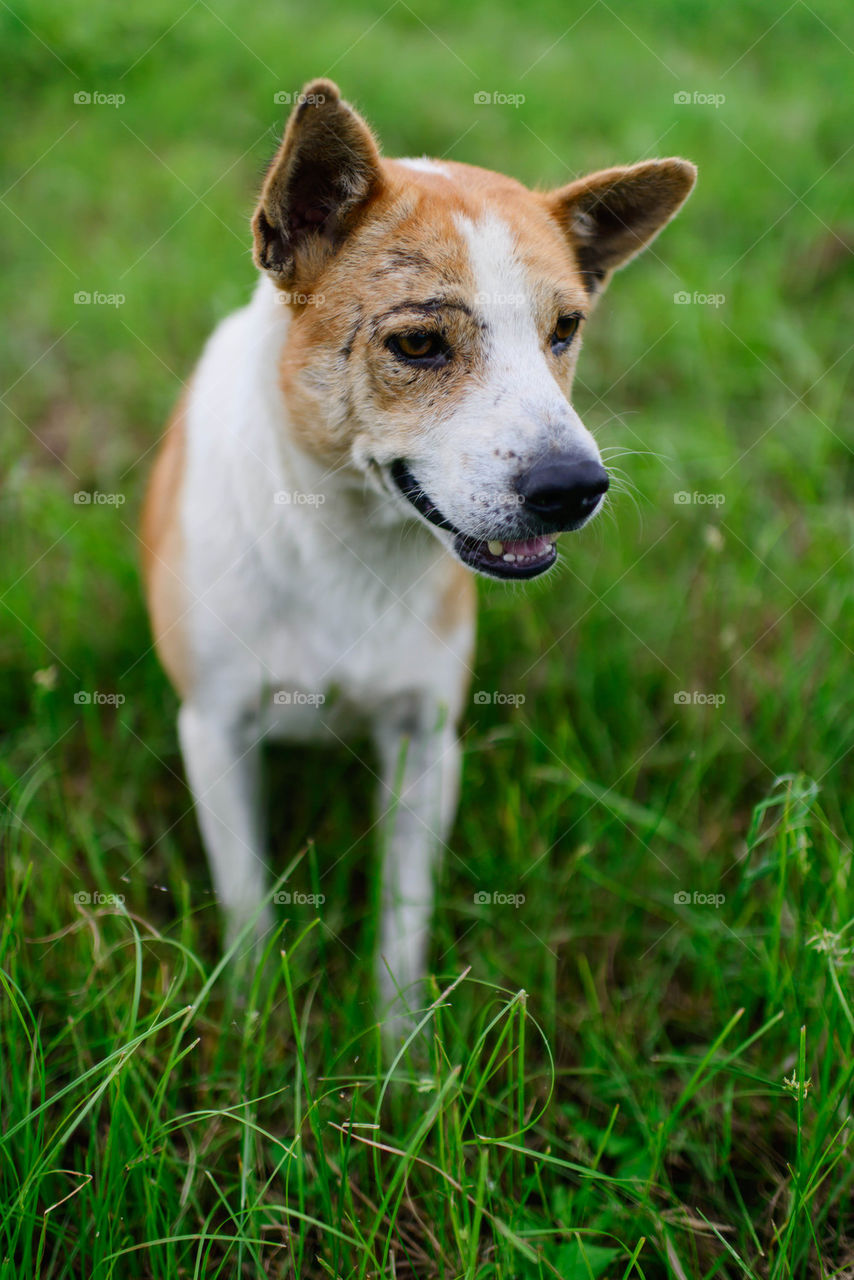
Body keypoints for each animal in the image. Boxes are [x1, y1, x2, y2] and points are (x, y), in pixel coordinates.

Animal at [140, 77, 696, 1018]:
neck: (343, 538)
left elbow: (403, 918)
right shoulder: (215, 728)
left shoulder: (425, 741)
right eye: (417, 344)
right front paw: (252, 1023)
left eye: (566, 329)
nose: (575, 487)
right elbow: (247, 902)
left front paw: (401, 1048)